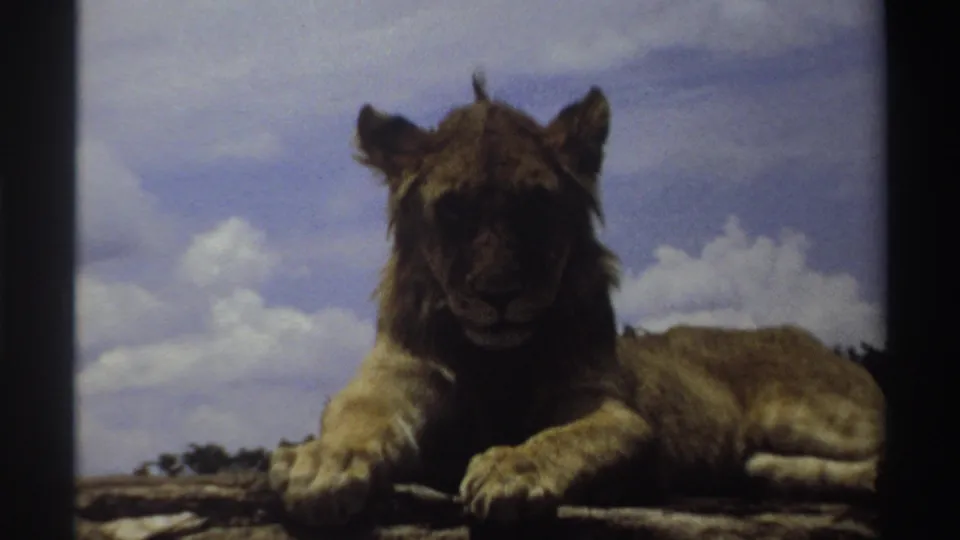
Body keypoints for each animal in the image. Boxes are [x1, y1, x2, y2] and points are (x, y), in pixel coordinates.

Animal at [268, 74, 885, 526]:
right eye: (454, 209)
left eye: (536, 205)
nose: (499, 295)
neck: (492, 359)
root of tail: (805, 336)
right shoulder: (393, 378)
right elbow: (359, 419)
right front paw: (322, 460)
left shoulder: (610, 408)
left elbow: (571, 437)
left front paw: (513, 467)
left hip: (815, 413)